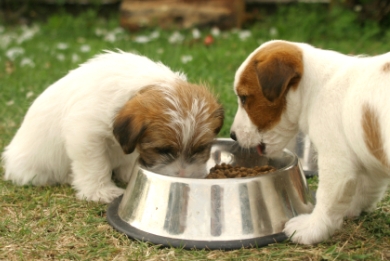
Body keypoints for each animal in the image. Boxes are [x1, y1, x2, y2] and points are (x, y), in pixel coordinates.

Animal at [1, 49, 224, 202]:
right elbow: (95, 165)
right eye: (162, 150)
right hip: (33, 171)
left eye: (202, 148)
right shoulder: (85, 135)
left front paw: (127, 173)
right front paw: (101, 192)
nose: (184, 175)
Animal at [230, 39, 390, 244]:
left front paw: (312, 228)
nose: (232, 135)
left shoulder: (336, 162)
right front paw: (351, 208)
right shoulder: (367, 152)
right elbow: (365, 187)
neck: (315, 88)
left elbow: (327, 199)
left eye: (243, 98)